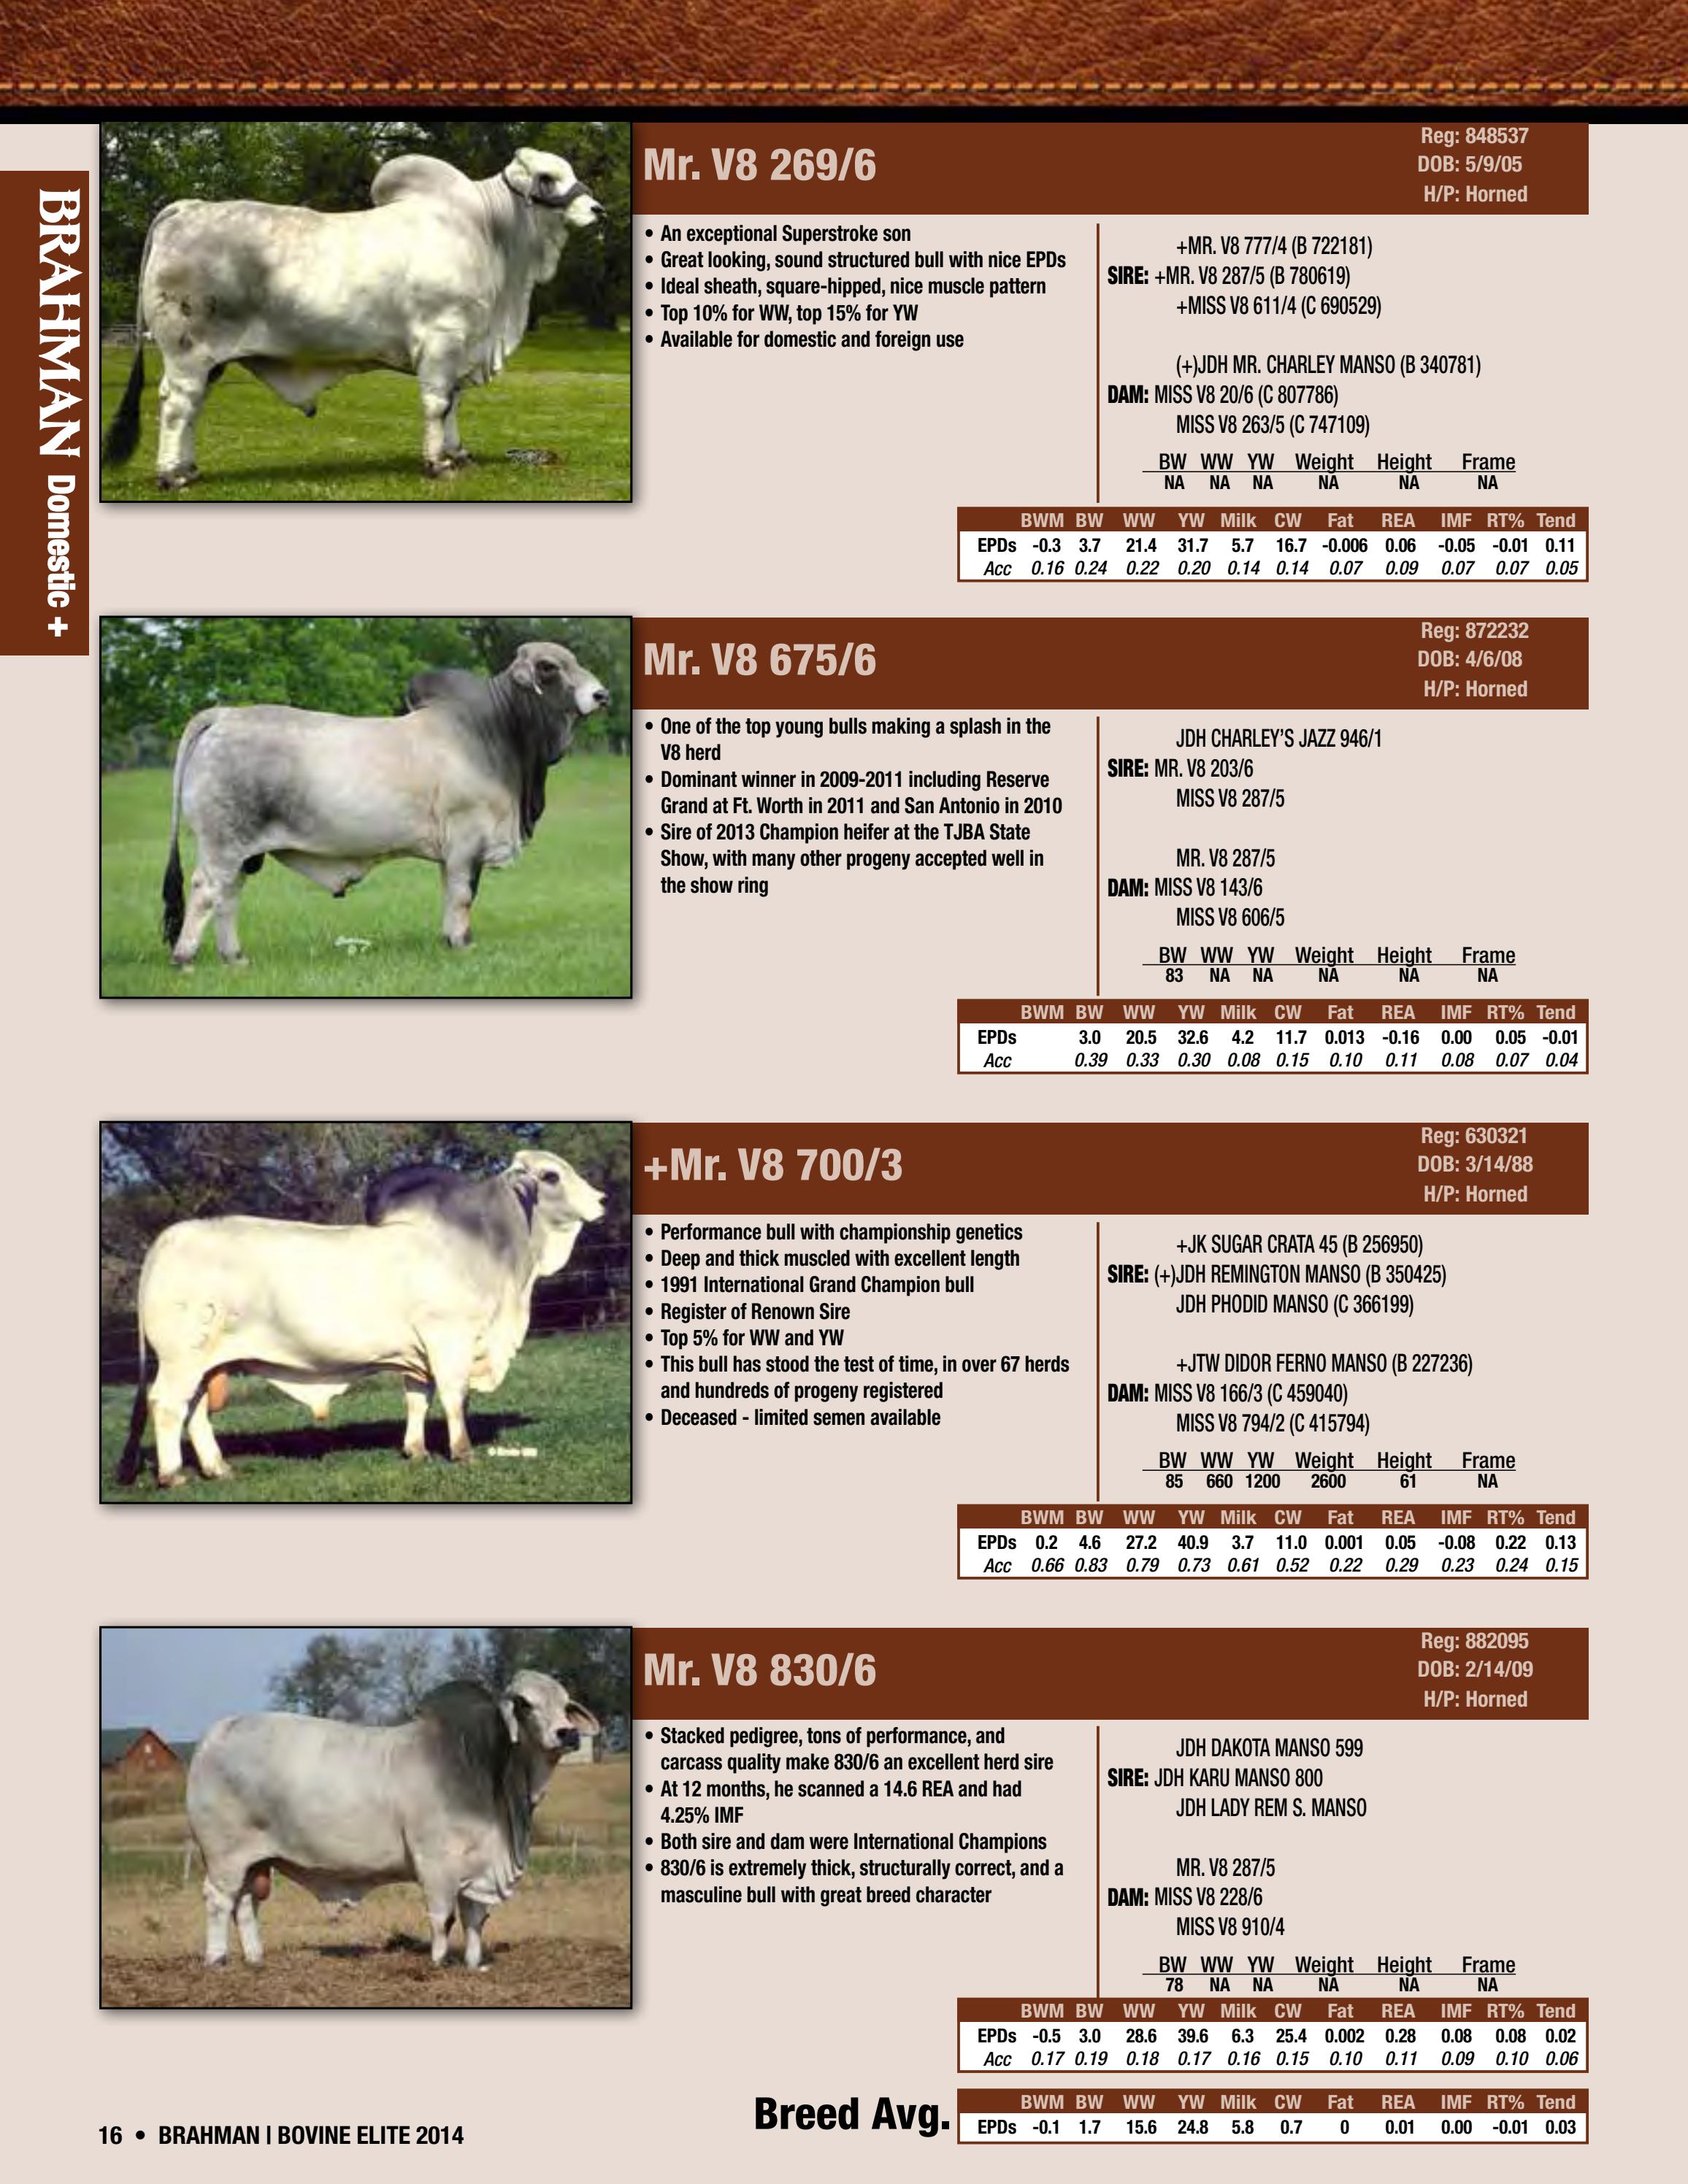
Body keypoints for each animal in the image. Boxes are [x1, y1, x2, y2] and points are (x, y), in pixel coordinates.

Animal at [101, 146, 603, 488]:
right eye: (546, 177)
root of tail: (187, 207)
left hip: (209, 361)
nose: (597, 209)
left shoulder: (462, 348)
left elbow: (454, 402)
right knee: (177, 406)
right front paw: (438, 463)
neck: (489, 234)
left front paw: (458, 455)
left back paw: (188, 468)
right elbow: (437, 403)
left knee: (191, 408)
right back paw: (173, 475)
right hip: (187, 351)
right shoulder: (442, 339)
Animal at [114, 1149, 605, 1488]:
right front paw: (462, 1452)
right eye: (551, 1175)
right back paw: (173, 1475)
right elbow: (454, 1397)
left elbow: (417, 1400)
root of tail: (166, 1240)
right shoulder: (449, 1340)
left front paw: (416, 1451)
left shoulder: (416, 1353)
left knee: (194, 1409)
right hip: (180, 1358)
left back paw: (218, 1468)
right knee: (168, 1406)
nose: (602, 1199)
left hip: (204, 1361)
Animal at [159, 640, 610, 967]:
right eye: (549, 667)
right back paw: (185, 958)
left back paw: (235, 958)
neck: (496, 732)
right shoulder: (468, 841)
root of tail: (225, 714)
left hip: (241, 852)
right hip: (223, 843)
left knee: (229, 897)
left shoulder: (454, 851)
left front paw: (449, 939)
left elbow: (450, 894)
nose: (601, 695)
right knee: (206, 892)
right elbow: (464, 895)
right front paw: (463, 943)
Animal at [186, 1670, 602, 1970]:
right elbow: (443, 1918)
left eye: (565, 1703)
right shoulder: (436, 1863)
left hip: (256, 1861)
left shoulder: (479, 1866)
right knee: (219, 1900)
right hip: (224, 1856)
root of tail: (214, 1734)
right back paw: (217, 1959)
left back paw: (255, 1958)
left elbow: (475, 1920)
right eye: (525, 1704)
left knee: (245, 1905)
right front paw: (438, 1963)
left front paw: (474, 1964)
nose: (567, 1734)